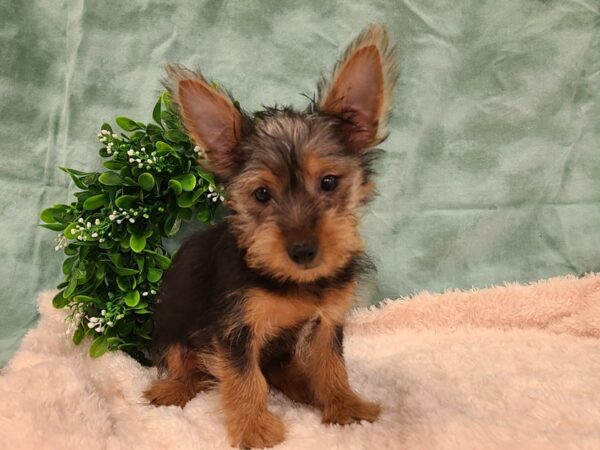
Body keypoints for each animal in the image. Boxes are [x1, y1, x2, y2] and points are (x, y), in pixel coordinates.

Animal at [145, 25, 398, 450]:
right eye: (262, 194)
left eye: (329, 182)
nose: (303, 251)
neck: (293, 281)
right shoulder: (234, 330)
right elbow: (244, 378)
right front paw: (253, 427)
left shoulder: (327, 321)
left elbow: (331, 364)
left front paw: (344, 405)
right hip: (173, 325)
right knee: (186, 364)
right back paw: (174, 388)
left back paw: (303, 385)